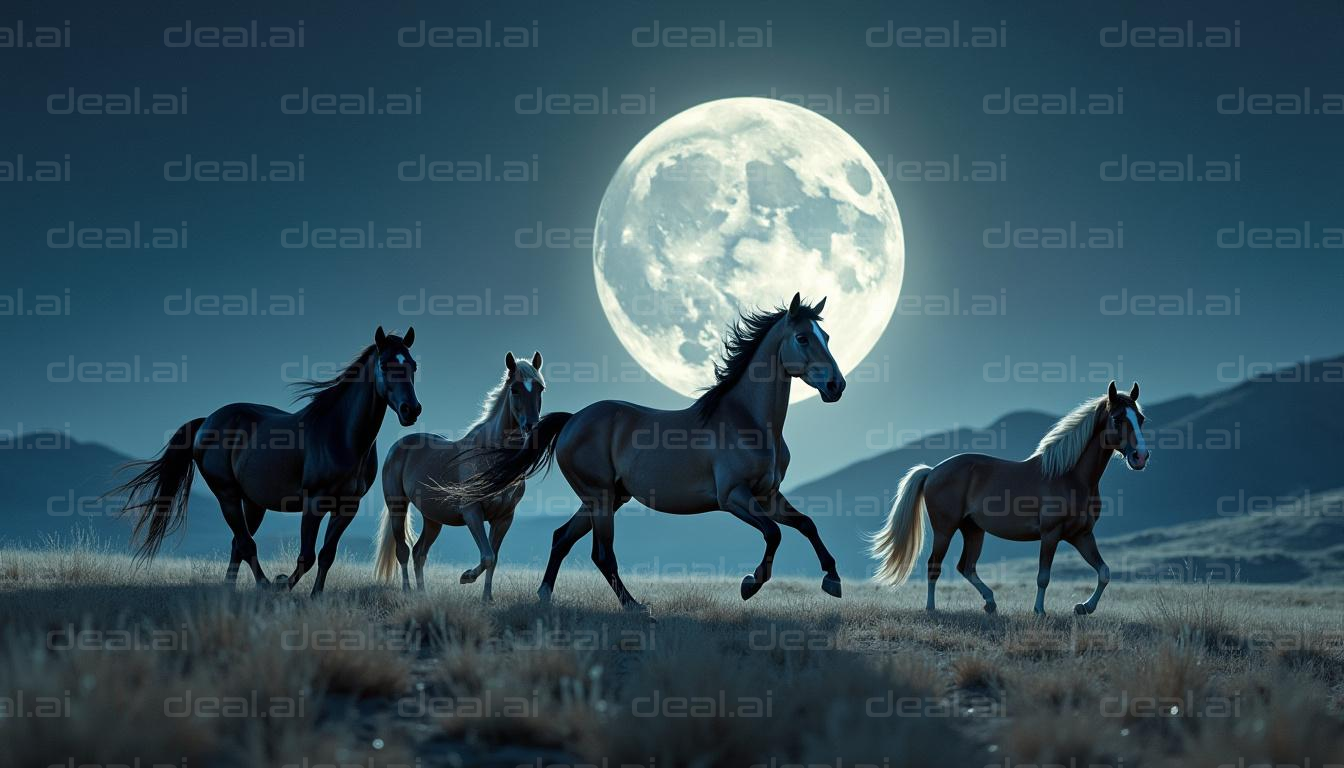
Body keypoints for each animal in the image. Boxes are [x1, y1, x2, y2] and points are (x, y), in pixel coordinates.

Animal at [113, 327, 421, 594]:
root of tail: (206, 421)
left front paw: (316, 596)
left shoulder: (347, 507)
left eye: (413, 366)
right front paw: (282, 583)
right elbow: (307, 556)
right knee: (246, 544)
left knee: (238, 544)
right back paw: (264, 585)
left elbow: (326, 555)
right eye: (385, 364)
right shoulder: (314, 503)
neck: (341, 435)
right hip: (227, 494)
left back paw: (232, 590)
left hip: (253, 503)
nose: (411, 410)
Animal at [373, 351, 545, 601]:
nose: (532, 427)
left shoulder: (504, 518)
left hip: (433, 519)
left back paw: (422, 594)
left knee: (419, 553)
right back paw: (407, 591)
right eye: (515, 389)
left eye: (540, 388)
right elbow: (487, 556)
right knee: (403, 550)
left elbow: (493, 558)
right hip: (398, 506)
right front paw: (466, 577)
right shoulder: (472, 512)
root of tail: (398, 447)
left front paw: (487, 598)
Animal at [440, 293, 846, 612]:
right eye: (803, 338)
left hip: (605, 499)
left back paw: (544, 597)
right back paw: (634, 606)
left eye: (826, 336)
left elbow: (806, 524)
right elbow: (774, 534)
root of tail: (573, 420)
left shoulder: (768, 494)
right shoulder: (734, 496)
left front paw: (833, 580)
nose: (836, 386)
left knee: (561, 538)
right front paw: (751, 583)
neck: (748, 421)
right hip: (601, 498)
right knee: (601, 554)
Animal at [869, 381, 1149, 615]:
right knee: (934, 566)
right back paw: (931, 608)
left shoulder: (1081, 535)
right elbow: (1043, 576)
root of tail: (932, 471)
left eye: (1141, 419)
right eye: (1117, 418)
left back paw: (990, 603)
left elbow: (1104, 572)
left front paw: (1083, 607)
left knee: (966, 566)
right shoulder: (1051, 534)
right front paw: (1039, 611)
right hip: (945, 529)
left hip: (973, 530)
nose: (1140, 457)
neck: (1071, 477)